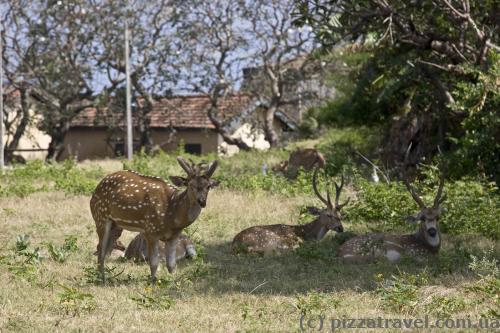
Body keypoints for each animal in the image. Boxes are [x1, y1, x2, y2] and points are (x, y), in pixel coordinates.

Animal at [90, 157, 219, 278]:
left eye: (208, 186)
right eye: (190, 185)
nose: (202, 201)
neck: (172, 218)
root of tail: (97, 187)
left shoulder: (174, 236)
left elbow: (171, 265)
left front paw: (172, 281)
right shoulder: (151, 230)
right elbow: (154, 263)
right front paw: (153, 281)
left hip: (116, 225)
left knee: (105, 250)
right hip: (100, 217)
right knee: (100, 250)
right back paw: (102, 278)